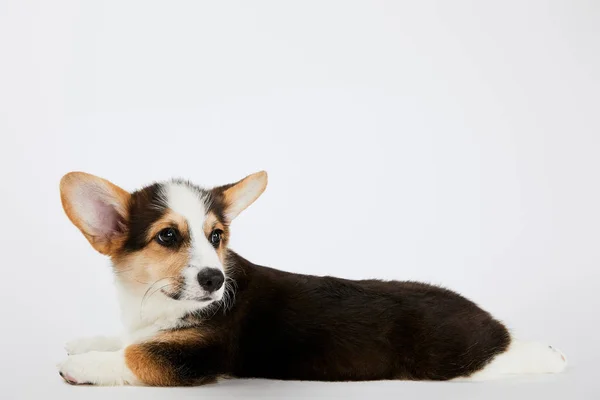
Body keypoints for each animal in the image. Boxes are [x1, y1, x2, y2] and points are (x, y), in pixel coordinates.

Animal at [57, 170, 568, 386]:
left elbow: (135, 356)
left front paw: (81, 365)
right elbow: (125, 339)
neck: (155, 302)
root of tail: (493, 323)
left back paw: (551, 353)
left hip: (452, 358)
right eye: (167, 236)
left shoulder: (196, 357)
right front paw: (83, 343)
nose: (215, 281)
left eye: (216, 236)